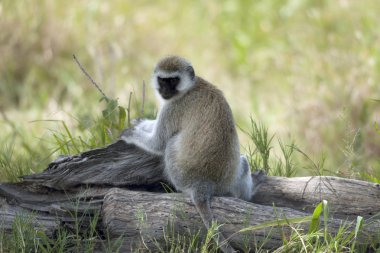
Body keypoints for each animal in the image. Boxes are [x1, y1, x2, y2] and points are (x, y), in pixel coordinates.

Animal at [122, 55, 255, 253]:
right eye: (163, 80)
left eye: (173, 80)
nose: (165, 90)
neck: (190, 86)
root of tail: (204, 184)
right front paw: (142, 122)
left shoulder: (173, 107)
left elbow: (158, 143)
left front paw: (131, 133)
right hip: (228, 182)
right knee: (244, 164)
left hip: (181, 176)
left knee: (169, 145)